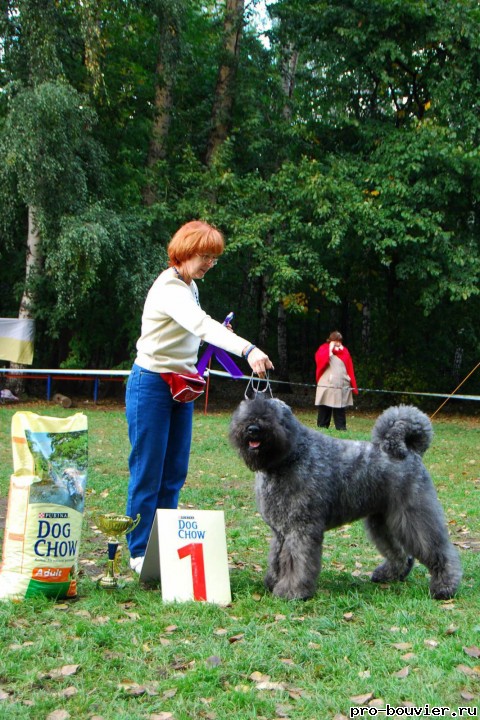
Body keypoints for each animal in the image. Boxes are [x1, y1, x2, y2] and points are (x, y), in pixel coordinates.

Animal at [231, 396, 464, 600]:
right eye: (245, 412)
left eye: (273, 415)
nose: (253, 428)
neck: (291, 455)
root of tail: (408, 450)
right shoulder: (280, 531)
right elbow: (277, 558)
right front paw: (273, 582)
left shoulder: (300, 528)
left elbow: (296, 561)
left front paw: (292, 591)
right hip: (383, 521)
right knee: (399, 553)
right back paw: (388, 575)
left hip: (413, 515)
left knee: (438, 549)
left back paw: (444, 587)